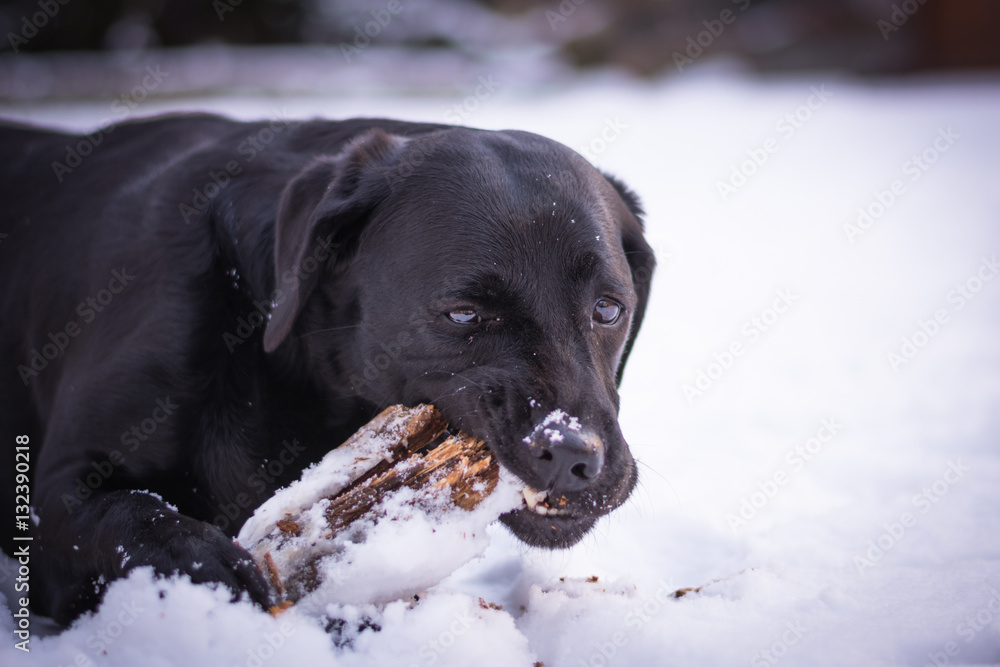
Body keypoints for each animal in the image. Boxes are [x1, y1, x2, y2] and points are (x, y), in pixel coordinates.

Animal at [0, 113, 652, 628]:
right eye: (463, 312)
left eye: (608, 309)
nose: (575, 455)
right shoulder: (54, 491)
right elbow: (129, 513)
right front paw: (207, 565)